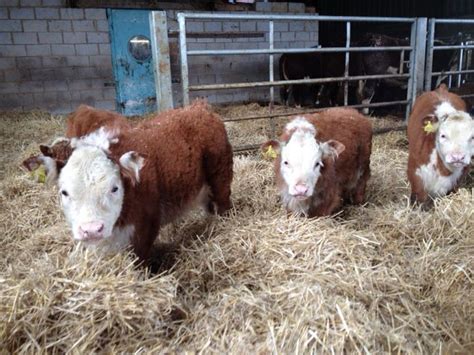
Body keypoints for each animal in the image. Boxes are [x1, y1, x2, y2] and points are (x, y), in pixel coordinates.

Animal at [33, 102, 233, 262]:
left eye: (114, 188)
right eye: (64, 192)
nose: (92, 230)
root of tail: (199, 107)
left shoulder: (146, 227)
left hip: (220, 177)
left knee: (223, 205)